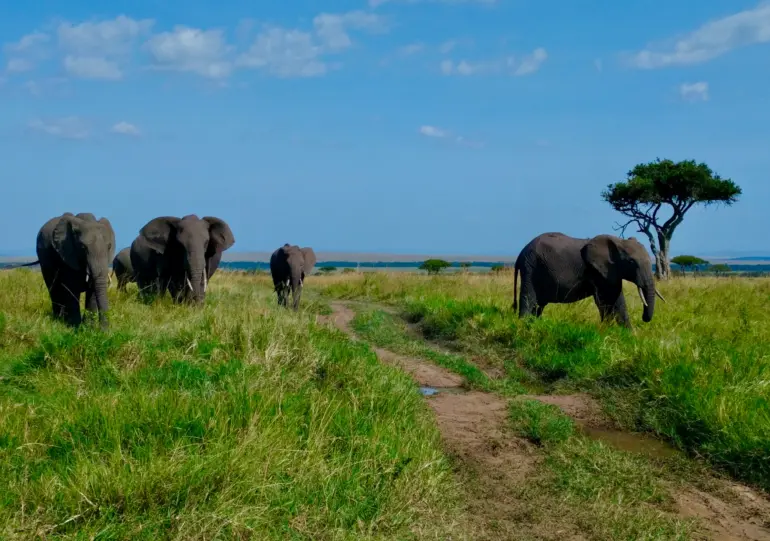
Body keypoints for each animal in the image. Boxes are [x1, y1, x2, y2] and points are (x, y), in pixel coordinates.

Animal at [512, 232, 666, 328]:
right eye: (631, 262)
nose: (644, 318)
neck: (618, 242)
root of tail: (520, 254)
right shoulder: (597, 271)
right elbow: (607, 300)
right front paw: (607, 329)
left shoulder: (611, 272)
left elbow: (616, 299)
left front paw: (629, 335)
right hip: (531, 267)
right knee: (529, 300)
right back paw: (524, 326)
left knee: (538, 306)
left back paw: (533, 325)